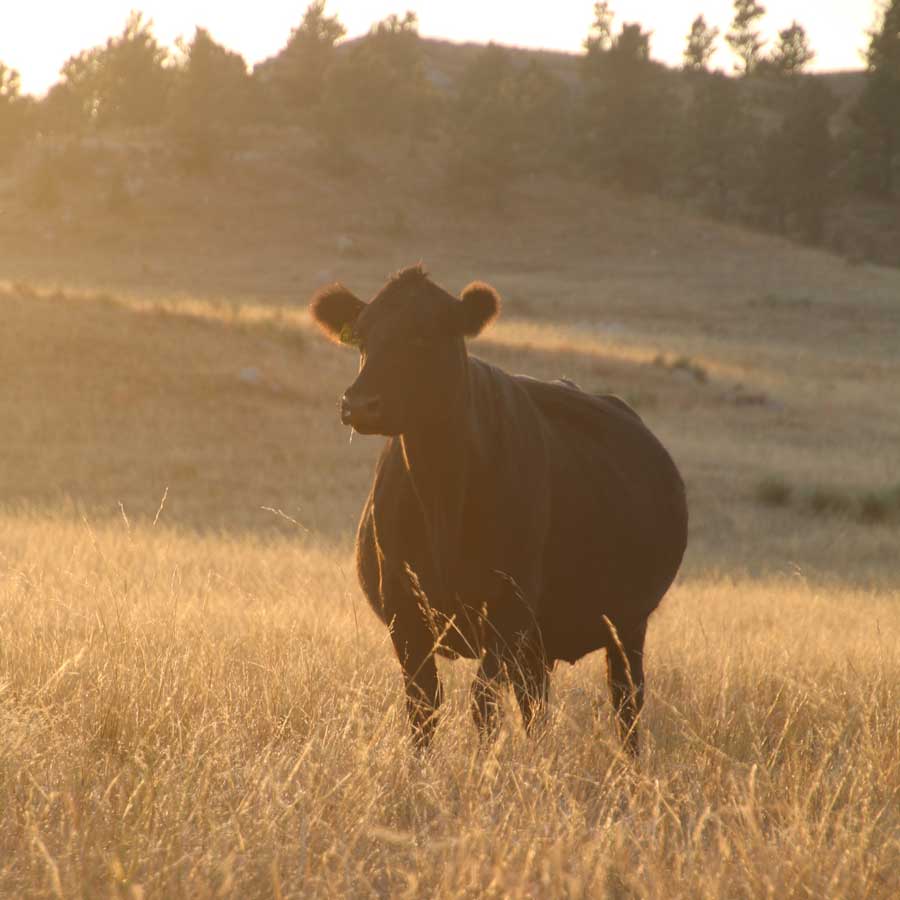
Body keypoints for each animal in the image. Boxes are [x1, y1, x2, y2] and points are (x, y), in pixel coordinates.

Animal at [309, 265, 688, 755]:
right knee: (535, 703)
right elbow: (423, 706)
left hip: (627, 624)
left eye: (425, 335)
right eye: (362, 337)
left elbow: (482, 702)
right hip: (540, 642)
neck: (440, 498)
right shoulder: (404, 613)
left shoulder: (506, 611)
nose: (360, 404)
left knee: (627, 704)